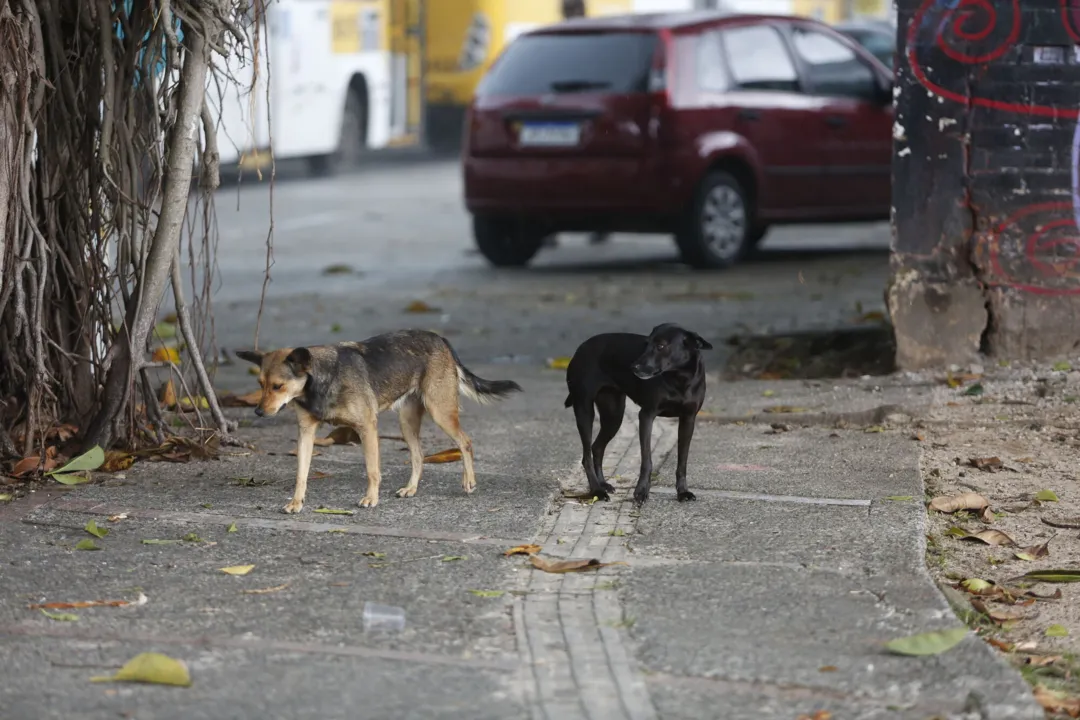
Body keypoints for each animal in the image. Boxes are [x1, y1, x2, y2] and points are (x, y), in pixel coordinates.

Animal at [237, 332, 522, 511]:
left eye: (278, 386)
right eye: (260, 385)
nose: (258, 412)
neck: (319, 382)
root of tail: (439, 338)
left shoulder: (367, 427)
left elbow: (372, 470)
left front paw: (371, 499)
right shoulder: (306, 432)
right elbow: (301, 474)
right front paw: (296, 502)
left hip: (440, 411)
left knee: (465, 442)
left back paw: (468, 482)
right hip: (406, 421)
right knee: (418, 455)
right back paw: (411, 488)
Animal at [565, 323, 708, 505]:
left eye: (661, 346)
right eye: (646, 344)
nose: (634, 367)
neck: (679, 378)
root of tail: (581, 348)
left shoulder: (688, 420)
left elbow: (682, 461)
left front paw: (682, 492)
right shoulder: (646, 416)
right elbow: (646, 460)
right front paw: (641, 491)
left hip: (614, 415)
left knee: (596, 447)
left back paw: (603, 484)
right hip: (584, 411)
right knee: (586, 456)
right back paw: (597, 490)